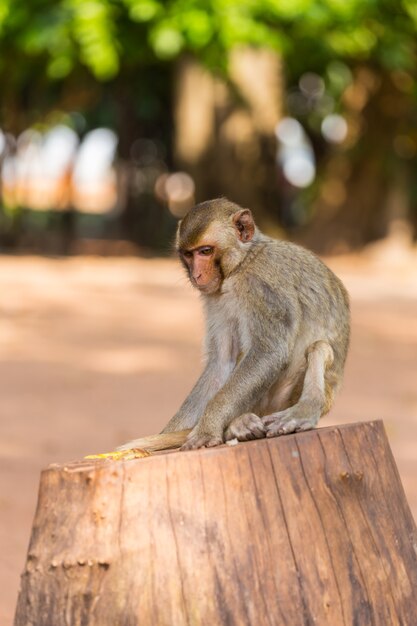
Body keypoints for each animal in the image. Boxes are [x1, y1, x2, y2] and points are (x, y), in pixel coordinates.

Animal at [118, 197, 350, 450]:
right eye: (189, 255)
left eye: (205, 251)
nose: (196, 275)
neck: (242, 263)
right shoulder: (215, 298)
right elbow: (221, 362)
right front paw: (170, 432)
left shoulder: (263, 286)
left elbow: (268, 353)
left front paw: (206, 428)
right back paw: (237, 424)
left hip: (287, 399)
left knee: (319, 348)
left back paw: (303, 410)